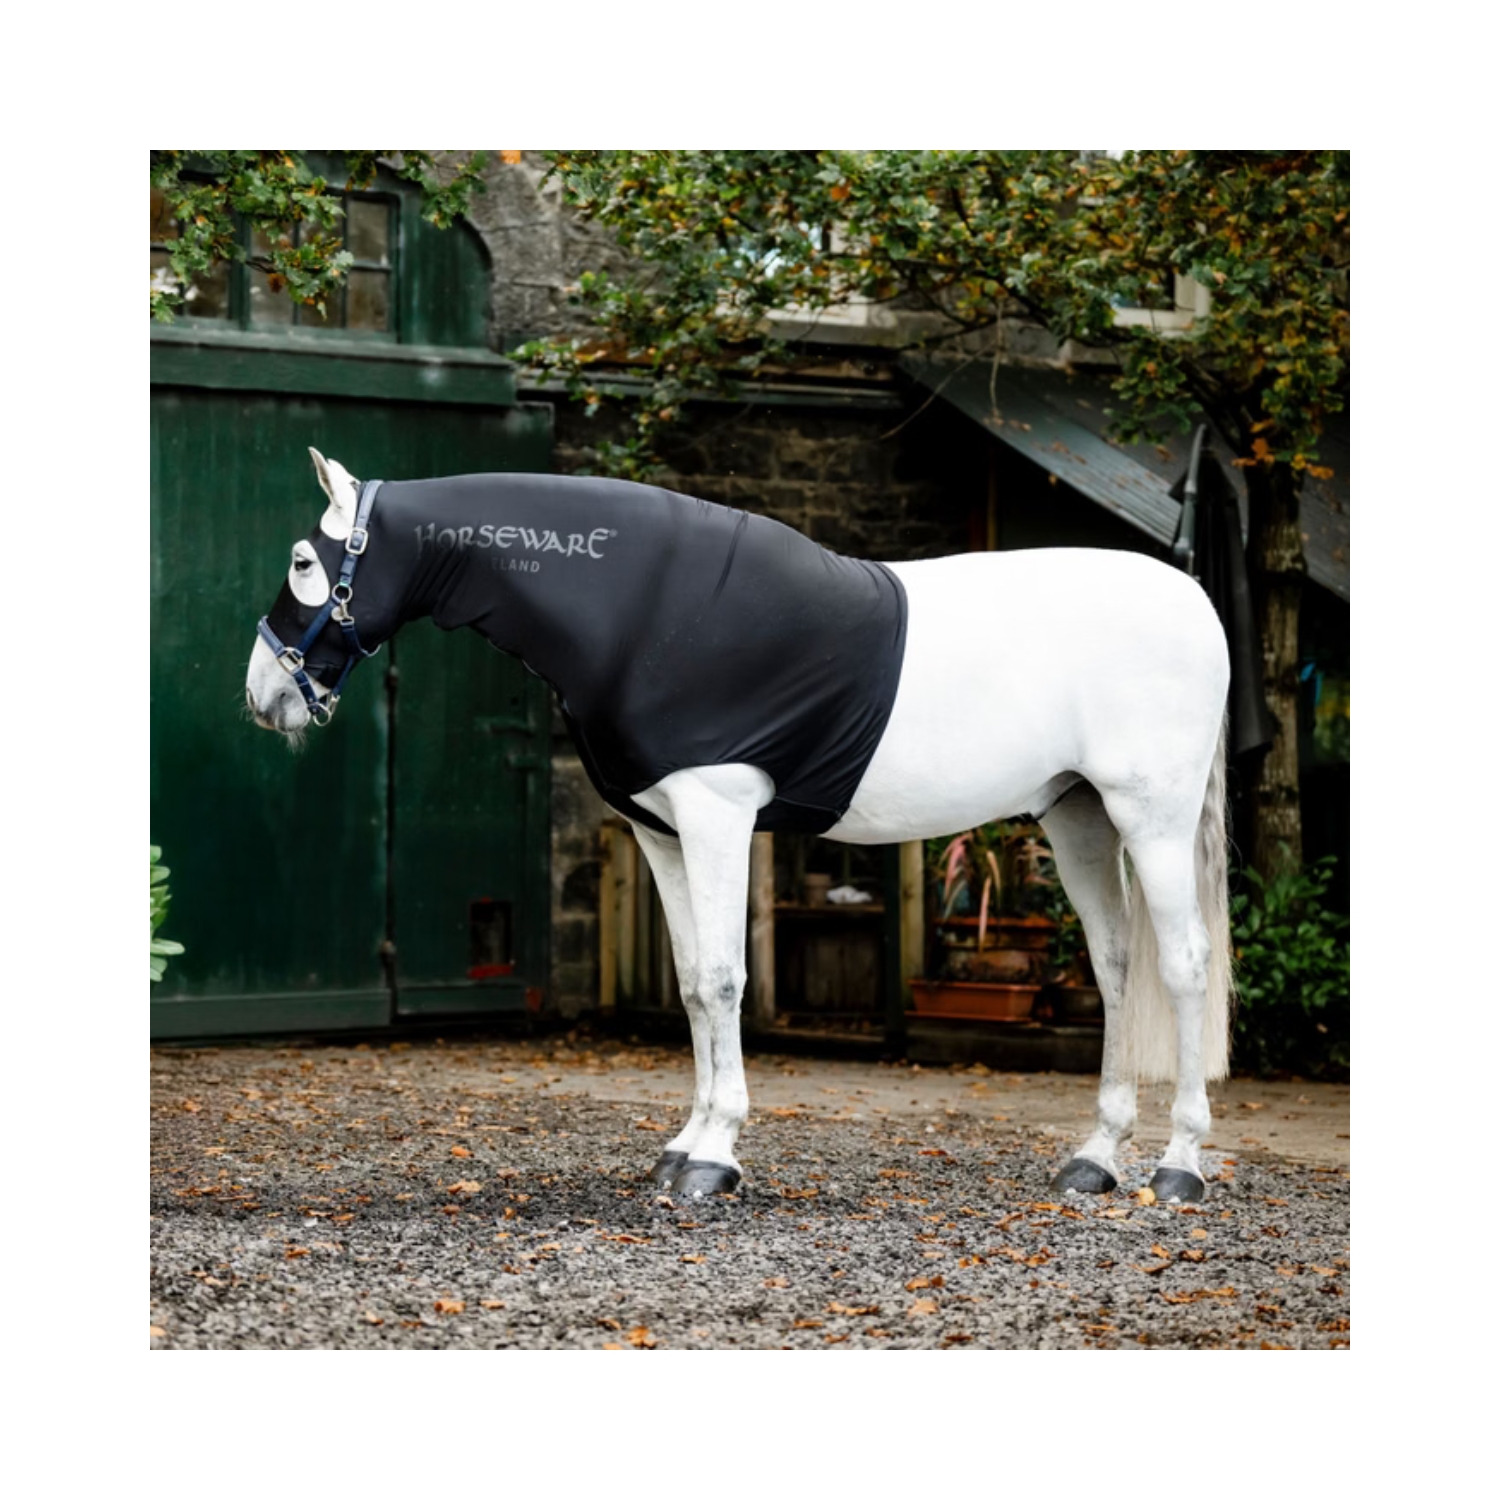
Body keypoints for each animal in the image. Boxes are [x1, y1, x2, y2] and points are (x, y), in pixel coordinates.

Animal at [246, 449, 1233, 1204]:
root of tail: (1196, 600)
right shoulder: (662, 832)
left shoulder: (716, 812)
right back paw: (1095, 1160)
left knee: (1183, 968)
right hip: (1078, 816)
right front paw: (685, 1144)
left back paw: (1179, 1167)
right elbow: (691, 985)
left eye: (301, 561)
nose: (262, 696)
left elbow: (725, 980)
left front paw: (715, 1156)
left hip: (1150, 816)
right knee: (1116, 968)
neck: (640, 604)